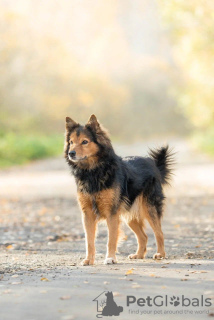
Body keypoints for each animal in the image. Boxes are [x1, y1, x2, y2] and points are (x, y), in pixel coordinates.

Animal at [65, 115, 174, 264]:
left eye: (85, 142)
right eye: (71, 142)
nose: (71, 153)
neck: (93, 172)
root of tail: (153, 164)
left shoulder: (112, 213)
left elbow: (111, 238)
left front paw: (110, 258)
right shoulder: (87, 214)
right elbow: (89, 240)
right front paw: (88, 260)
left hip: (149, 208)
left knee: (159, 233)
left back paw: (160, 254)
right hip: (130, 215)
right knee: (143, 236)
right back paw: (139, 255)